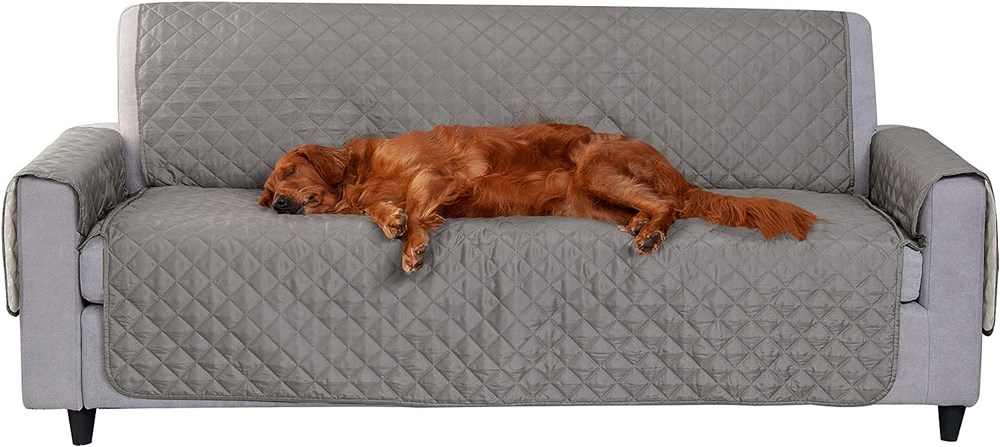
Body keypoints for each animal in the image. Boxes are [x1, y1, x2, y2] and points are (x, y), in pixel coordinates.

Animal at [260, 123, 817, 272]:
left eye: (288, 171)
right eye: (267, 195)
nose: (280, 205)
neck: (362, 172)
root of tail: (678, 174)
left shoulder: (436, 173)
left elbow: (418, 206)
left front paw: (412, 242)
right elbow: (383, 208)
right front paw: (392, 220)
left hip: (595, 165)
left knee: (670, 206)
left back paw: (650, 234)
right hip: (590, 201)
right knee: (657, 208)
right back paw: (642, 228)